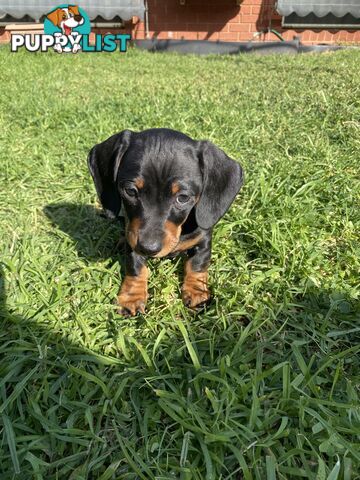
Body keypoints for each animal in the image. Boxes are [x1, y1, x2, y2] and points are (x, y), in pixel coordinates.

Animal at [88, 127, 243, 316]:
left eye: (183, 198)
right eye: (130, 191)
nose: (148, 248)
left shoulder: (203, 239)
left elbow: (197, 265)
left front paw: (197, 292)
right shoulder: (134, 236)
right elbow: (136, 266)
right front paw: (132, 297)